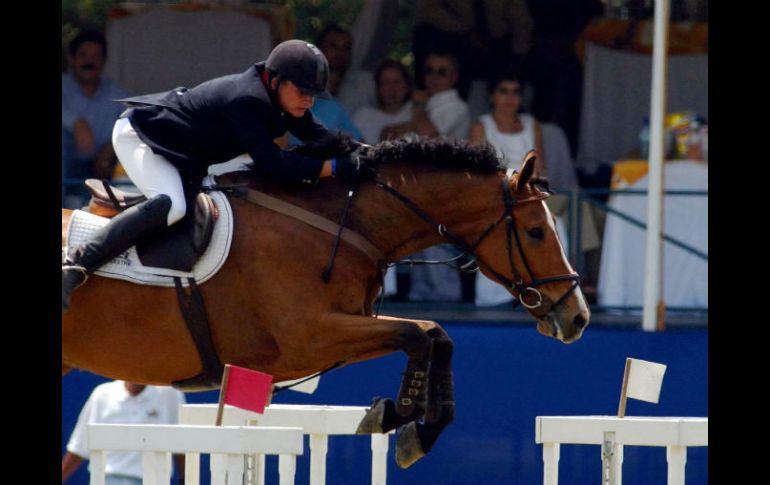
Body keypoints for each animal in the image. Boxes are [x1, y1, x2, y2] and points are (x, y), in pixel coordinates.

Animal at [61, 134, 588, 466]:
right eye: (537, 231)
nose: (578, 317)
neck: (343, 223)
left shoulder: (339, 328)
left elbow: (436, 335)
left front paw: (417, 428)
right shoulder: (310, 339)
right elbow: (419, 334)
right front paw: (401, 417)